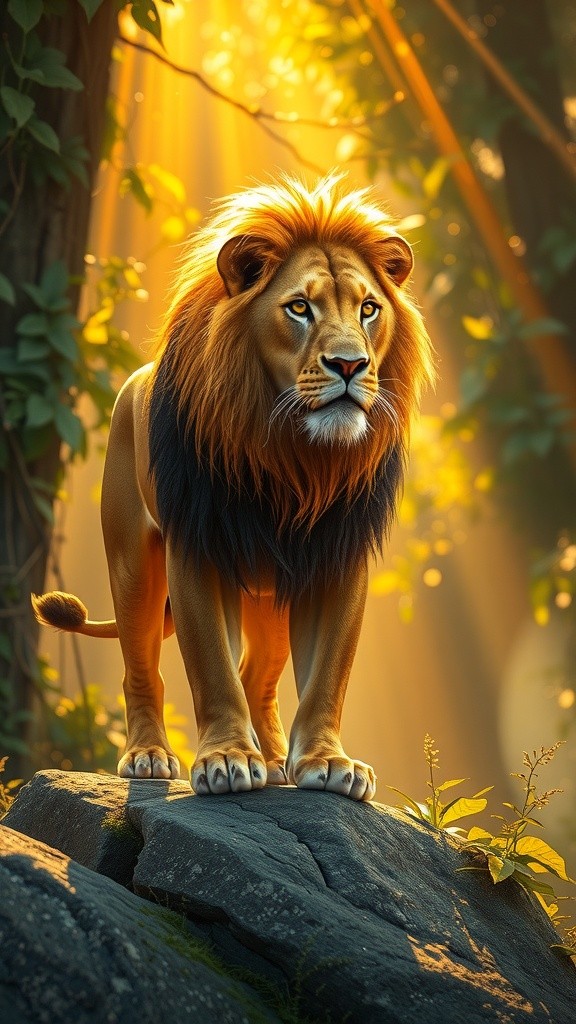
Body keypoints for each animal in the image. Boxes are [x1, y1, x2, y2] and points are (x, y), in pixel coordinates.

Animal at [33, 174, 434, 800]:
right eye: (299, 307)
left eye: (369, 309)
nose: (350, 365)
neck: (292, 456)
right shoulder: (197, 545)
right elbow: (211, 667)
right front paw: (225, 760)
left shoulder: (336, 556)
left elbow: (329, 674)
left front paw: (326, 762)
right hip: (133, 564)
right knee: (141, 668)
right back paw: (149, 755)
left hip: (271, 592)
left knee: (257, 678)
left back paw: (274, 760)